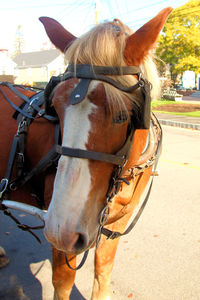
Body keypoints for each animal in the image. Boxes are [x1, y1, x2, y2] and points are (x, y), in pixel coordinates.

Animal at [0, 7, 172, 300]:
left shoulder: (114, 226)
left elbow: (103, 275)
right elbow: (63, 283)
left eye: (122, 115)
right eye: (55, 108)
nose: (62, 230)